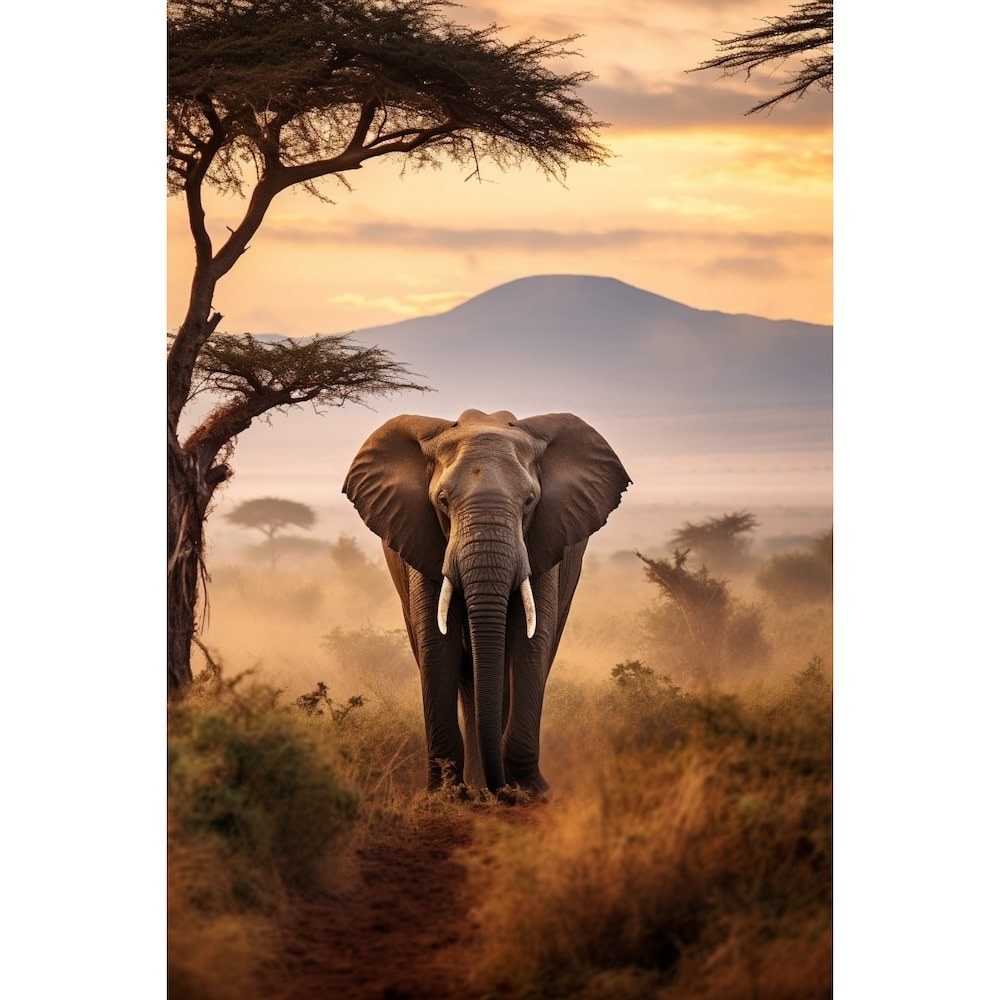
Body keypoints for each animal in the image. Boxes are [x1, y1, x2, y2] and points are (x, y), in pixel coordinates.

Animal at [343, 408, 630, 798]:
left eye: (529, 501)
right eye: (443, 501)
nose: (502, 791)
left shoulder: (545, 539)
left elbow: (531, 643)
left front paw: (531, 791)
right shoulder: (422, 538)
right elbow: (436, 643)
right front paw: (447, 794)